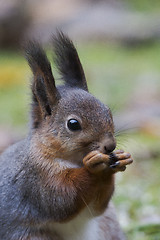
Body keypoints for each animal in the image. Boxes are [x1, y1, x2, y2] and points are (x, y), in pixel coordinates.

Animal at [0, 32, 132, 240]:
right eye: (73, 124)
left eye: (108, 111)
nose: (110, 146)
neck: (73, 160)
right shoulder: (35, 180)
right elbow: (63, 199)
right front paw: (94, 167)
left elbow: (98, 206)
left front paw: (120, 158)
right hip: (31, 236)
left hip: (109, 225)